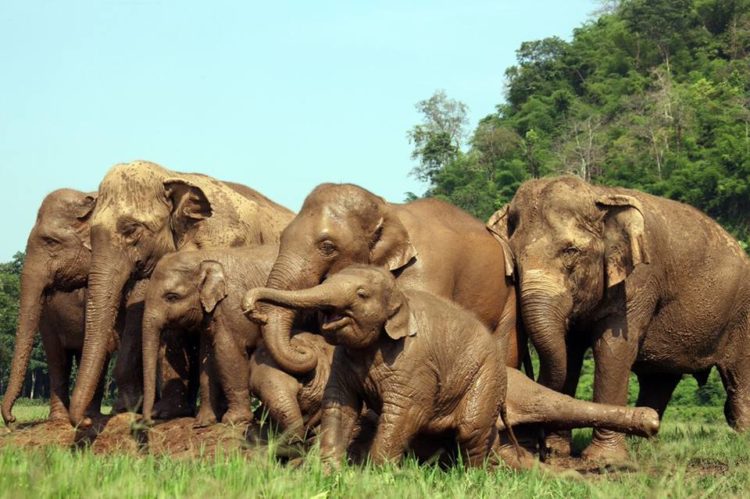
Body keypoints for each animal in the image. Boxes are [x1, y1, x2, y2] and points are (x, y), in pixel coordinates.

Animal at [142, 244, 280, 428]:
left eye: (172, 297)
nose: (150, 420)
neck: (203, 258)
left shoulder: (233, 307)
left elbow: (227, 352)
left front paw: (234, 421)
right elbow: (207, 358)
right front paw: (203, 422)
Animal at [247, 266, 656, 468]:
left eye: (361, 294)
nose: (250, 306)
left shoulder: (413, 363)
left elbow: (405, 411)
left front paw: (376, 475)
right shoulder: (343, 361)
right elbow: (341, 405)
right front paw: (328, 472)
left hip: (485, 377)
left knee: (472, 429)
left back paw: (475, 477)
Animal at [256, 184, 524, 382]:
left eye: (328, 246)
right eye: (281, 237)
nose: (253, 310)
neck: (386, 209)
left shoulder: (426, 269)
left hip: (508, 295)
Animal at [488, 177, 750, 464]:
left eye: (571, 251)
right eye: (514, 259)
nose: (540, 449)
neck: (599, 195)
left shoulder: (638, 280)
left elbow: (612, 349)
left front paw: (603, 459)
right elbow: (569, 352)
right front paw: (559, 452)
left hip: (742, 314)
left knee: (739, 373)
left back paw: (742, 438)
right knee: (660, 379)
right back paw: (645, 444)